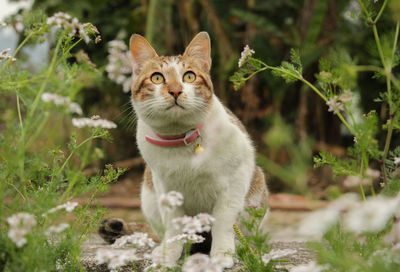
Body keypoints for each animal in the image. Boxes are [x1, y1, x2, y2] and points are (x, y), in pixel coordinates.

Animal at [99, 31, 268, 268]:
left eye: (189, 77)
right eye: (157, 78)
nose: (175, 90)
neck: (181, 140)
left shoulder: (236, 177)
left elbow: (224, 221)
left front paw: (223, 253)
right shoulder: (165, 187)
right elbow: (174, 227)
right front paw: (169, 254)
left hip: (256, 187)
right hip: (148, 193)